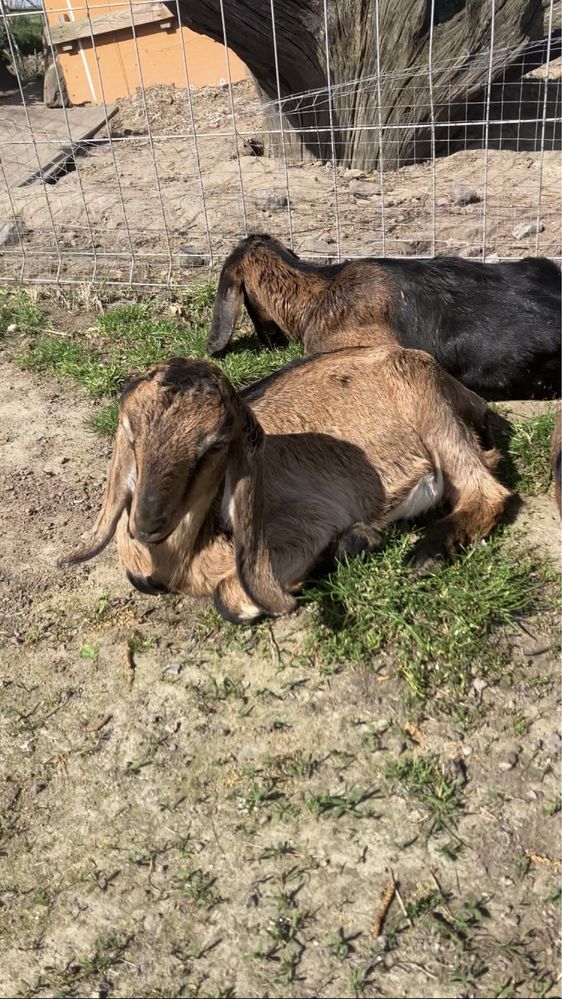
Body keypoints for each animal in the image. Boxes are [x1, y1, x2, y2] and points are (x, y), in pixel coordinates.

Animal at [59, 348, 510, 620]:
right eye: (130, 430)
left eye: (215, 445)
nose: (147, 523)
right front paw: (357, 539)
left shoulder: (305, 522)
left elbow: (229, 598)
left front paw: (350, 544)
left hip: (426, 403)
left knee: (488, 492)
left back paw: (425, 555)